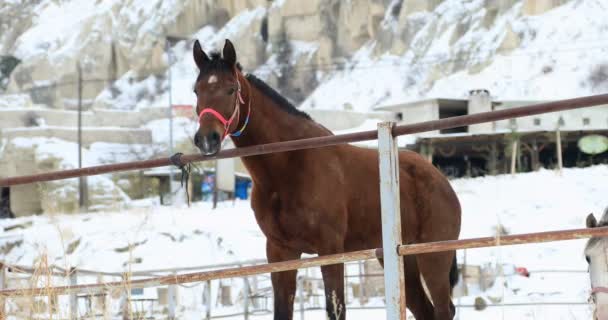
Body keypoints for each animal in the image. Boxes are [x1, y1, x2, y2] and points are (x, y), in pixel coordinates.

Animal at [190, 38, 460, 318]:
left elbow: (335, 309)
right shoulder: (280, 251)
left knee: (443, 309)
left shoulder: (330, 249)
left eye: (231, 89)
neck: (290, 165)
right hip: (402, 258)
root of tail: (442, 180)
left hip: (433, 258)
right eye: (197, 91)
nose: (207, 139)